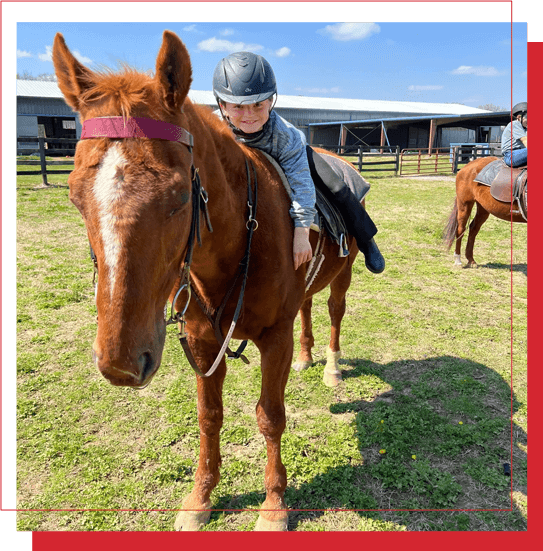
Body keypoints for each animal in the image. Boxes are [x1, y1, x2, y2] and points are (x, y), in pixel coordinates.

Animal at [52, 30, 366, 532]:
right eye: (75, 197)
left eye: (181, 196)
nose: (120, 364)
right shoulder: (203, 344)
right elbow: (208, 417)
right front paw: (200, 498)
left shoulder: (273, 337)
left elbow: (270, 416)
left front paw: (274, 506)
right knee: (307, 307)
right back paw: (306, 358)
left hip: (345, 274)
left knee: (334, 311)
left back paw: (332, 367)